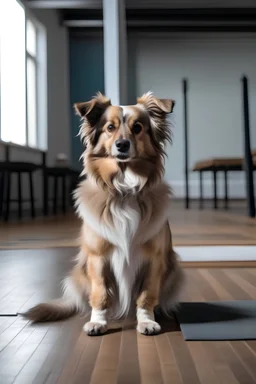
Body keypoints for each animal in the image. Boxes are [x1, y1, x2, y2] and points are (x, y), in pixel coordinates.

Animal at [23, 91, 184, 334]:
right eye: (110, 127)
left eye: (138, 127)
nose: (122, 144)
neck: (124, 189)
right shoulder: (97, 258)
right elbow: (100, 295)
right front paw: (98, 322)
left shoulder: (154, 259)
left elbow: (146, 295)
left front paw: (146, 321)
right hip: (78, 274)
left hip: (175, 272)